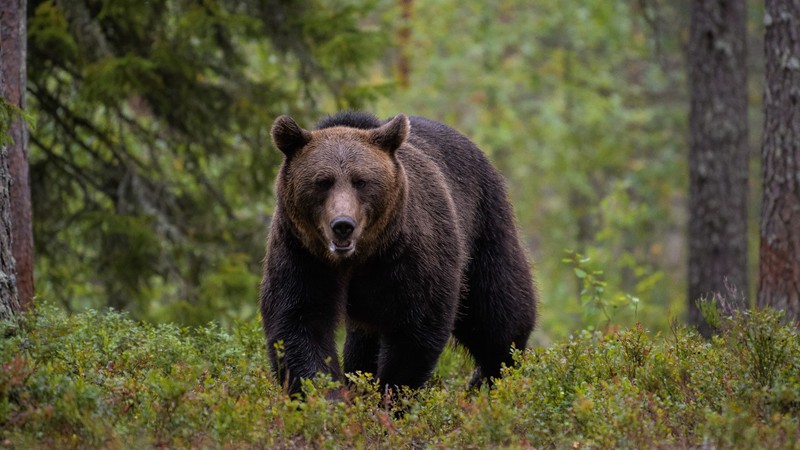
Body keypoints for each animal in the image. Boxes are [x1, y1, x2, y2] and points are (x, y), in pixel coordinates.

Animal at [262, 111, 536, 394]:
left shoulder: (408, 255)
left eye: (361, 181)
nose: (343, 225)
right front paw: (327, 394)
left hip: (484, 227)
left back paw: (491, 379)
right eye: (322, 182)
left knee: (497, 314)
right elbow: (300, 322)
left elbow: (415, 328)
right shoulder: (303, 254)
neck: (359, 257)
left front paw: (391, 393)